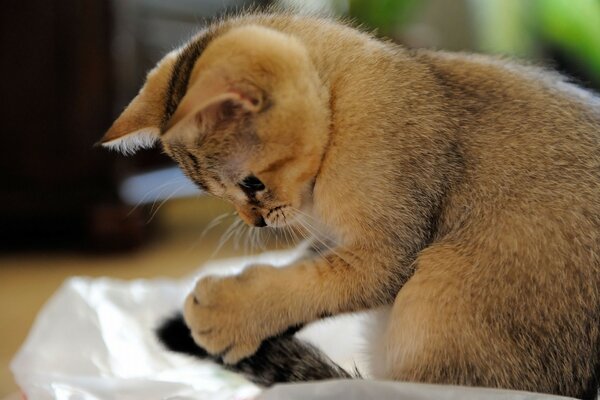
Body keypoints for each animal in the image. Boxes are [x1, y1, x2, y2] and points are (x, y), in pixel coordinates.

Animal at [98, 10, 600, 398]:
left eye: (252, 185)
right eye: (220, 195)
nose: (257, 222)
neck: (343, 105)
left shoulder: (388, 252)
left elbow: (313, 285)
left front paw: (229, 314)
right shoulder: (332, 236)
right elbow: (300, 267)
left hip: (435, 295)